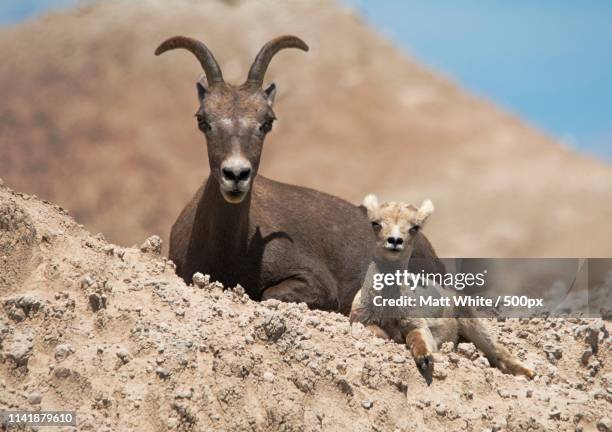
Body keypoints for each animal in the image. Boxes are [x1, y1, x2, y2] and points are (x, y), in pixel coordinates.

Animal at [155, 35, 442, 312]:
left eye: (267, 122)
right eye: (202, 120)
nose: (236, 175)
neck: (230, 250)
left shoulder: (315, 283)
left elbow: (268, 294)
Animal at [352, 196, 532, 382]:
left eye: (415, 227)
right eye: (375, 223)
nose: (395, 241)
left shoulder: (417, 325)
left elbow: (416, 338)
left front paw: (425, 358)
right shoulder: (360, 321)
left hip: (472, 322)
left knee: (497, 351)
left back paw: (528, 373)